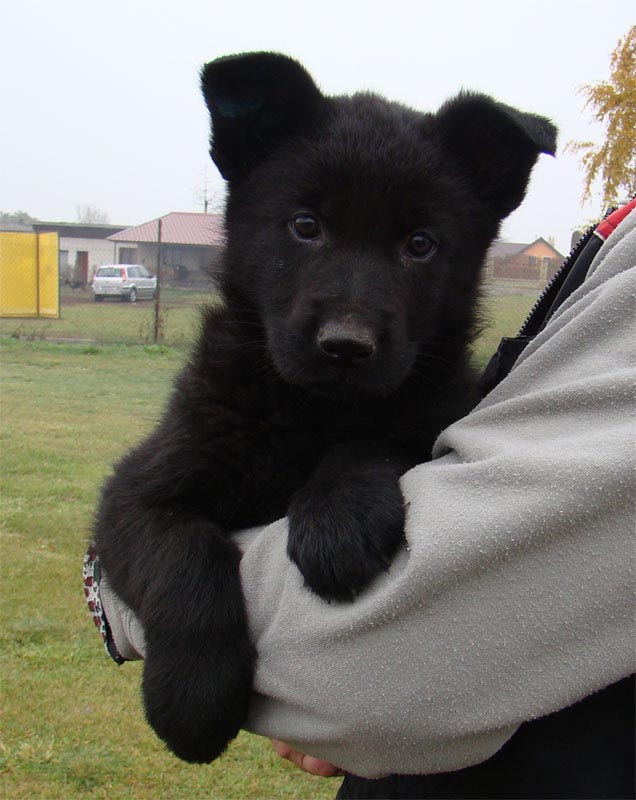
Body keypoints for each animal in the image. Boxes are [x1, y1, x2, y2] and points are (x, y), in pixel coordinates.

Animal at [94, 51, 556, 764]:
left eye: (420, 243)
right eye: (305, 226)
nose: (346, 346)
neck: (311, 409)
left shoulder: (432, 417)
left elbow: (373, 442)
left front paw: (337, 523)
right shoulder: (137, 488)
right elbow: (181, 554)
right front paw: (192, 698)